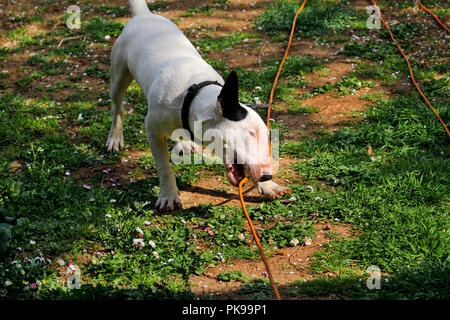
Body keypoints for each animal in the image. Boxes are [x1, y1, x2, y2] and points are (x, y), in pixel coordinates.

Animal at [106, 0, 288, 212]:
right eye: (250, 133)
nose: (267, 175)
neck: (194, 95)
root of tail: (143, 15)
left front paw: (268, 186)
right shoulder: (152, 130)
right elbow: (164, 167)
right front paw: (168, 196)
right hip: (119, 75)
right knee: (117, 107)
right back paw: (115, 137)